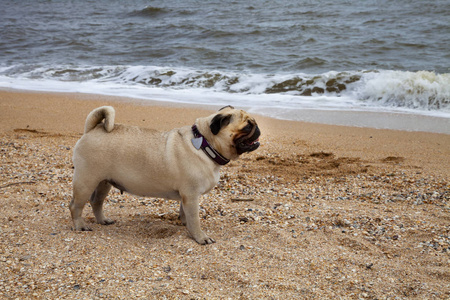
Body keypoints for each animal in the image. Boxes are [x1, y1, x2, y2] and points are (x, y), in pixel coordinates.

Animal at [70, 105, 260, 244]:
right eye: (247, 126)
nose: (257, 128)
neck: (206, 145)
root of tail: (92, 130)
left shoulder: (186, 197)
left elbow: (185, 214)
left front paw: (186, 225)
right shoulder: (191, 196)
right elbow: (195, 219)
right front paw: (200, 237)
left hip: (104, 182)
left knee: (96, 202)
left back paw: (103, 220)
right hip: (86, 181)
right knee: (75, 206)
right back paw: (80, 225)